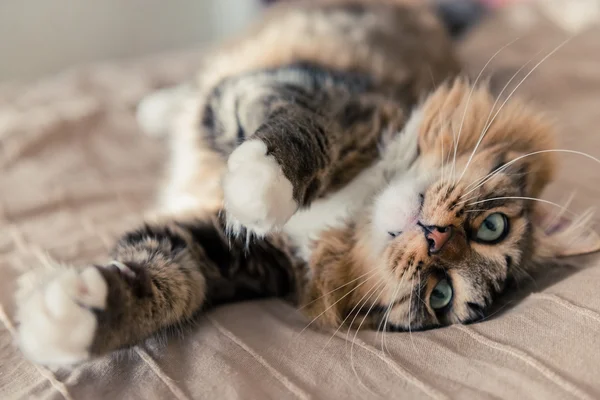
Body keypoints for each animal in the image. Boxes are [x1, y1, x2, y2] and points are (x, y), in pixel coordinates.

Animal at [15, 0, 600, 366]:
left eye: (440, 295)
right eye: (493, 227)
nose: (434, 238)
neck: (352, 207)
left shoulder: (221, 252)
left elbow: (161, 284)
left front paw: (65, 321)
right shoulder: (306, 92)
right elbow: (301, 131)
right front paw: (260, 186)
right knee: (192, 88)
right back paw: (156, 110)